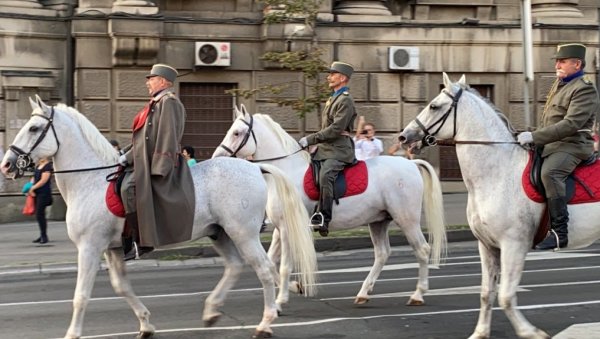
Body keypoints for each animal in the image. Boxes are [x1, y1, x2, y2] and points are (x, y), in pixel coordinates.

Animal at [0, 95, 318, 339]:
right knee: (235, 266)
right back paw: (212, 310)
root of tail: (255, 167)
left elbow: (81, 295)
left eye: (34, 128)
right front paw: (146, 323)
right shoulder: (113, 249)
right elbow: (121, 287)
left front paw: (72, 333)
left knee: (264, 269)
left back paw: (265, 322)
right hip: (220, 233)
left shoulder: (90, 247)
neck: (91, 180)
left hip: (244, 234)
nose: (7, 164)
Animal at [211, 107, 446, 306]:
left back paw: (417, 294)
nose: (216, 158)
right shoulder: (279, 229)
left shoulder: (288, 228)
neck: (284, 173)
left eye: (237, 133)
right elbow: (271, 262)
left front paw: (281, 299)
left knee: (422, 249)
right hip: (379, 221)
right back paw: (363, 293)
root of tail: (411, 163)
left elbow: (285, 265)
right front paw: (295, 287)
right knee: (382, 254)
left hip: (407, 219)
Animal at [398, 72, 600, 339]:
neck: (497, 173)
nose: (404, 136)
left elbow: (505, 296)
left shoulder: (514, 245)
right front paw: (480, 333)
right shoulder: (487, 246)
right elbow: (487, 293)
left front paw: (530, 332)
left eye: (434, 106)